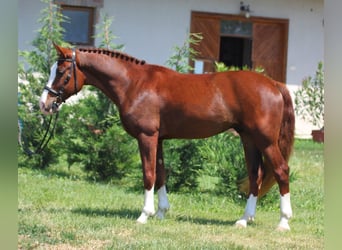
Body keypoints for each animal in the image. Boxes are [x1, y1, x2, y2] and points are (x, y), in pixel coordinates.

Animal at [40, 45, 296, 230]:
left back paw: (283, 222)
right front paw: (162, 212)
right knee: (256, 175)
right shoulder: (159, 139)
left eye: (61, 73)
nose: (44, 104)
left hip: (265, 141)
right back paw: (244, 220)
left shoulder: (147, 137)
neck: (135, 84)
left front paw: (144, 215)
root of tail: (274, 83)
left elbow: (149, 174)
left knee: (281, 171)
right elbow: (161, 173)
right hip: (249, 139)